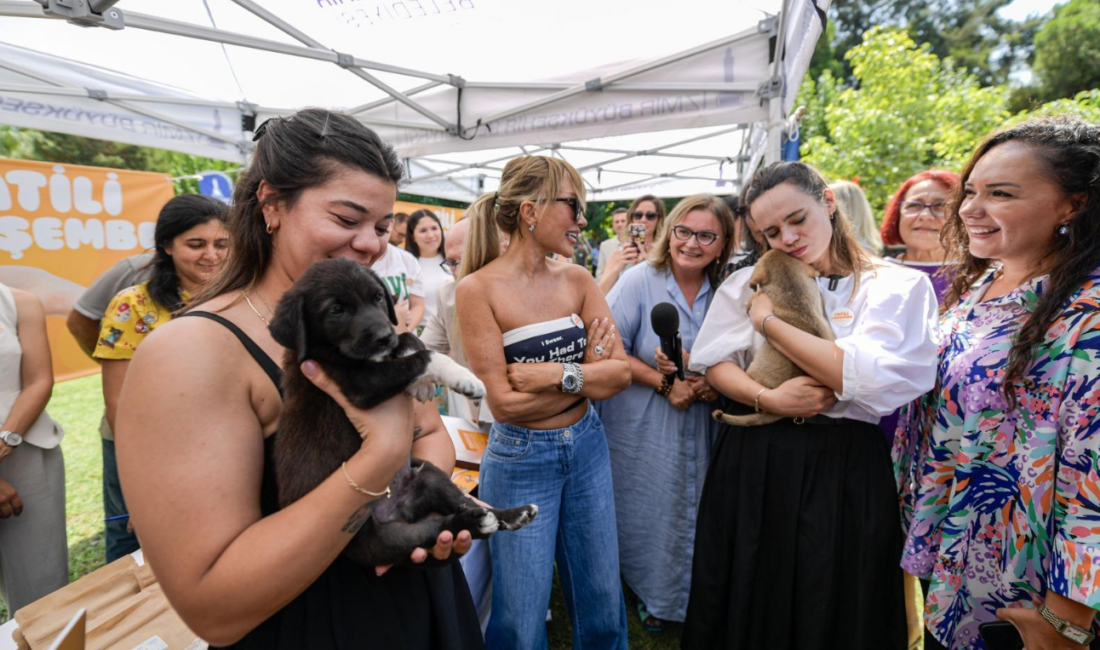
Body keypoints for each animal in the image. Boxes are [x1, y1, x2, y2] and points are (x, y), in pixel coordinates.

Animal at [270, 261, 536, 567]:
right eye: (336, 309)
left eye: (378, 297)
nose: (384, 337)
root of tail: (400, 507)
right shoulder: (359, 383)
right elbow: (428, 356)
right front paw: (465, 379)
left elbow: (410, 337)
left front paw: (416, 372)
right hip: (386, 539)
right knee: (436, 528)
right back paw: (473, 523)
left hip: (428, 475)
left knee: (464, 501)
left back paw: (512, 514)